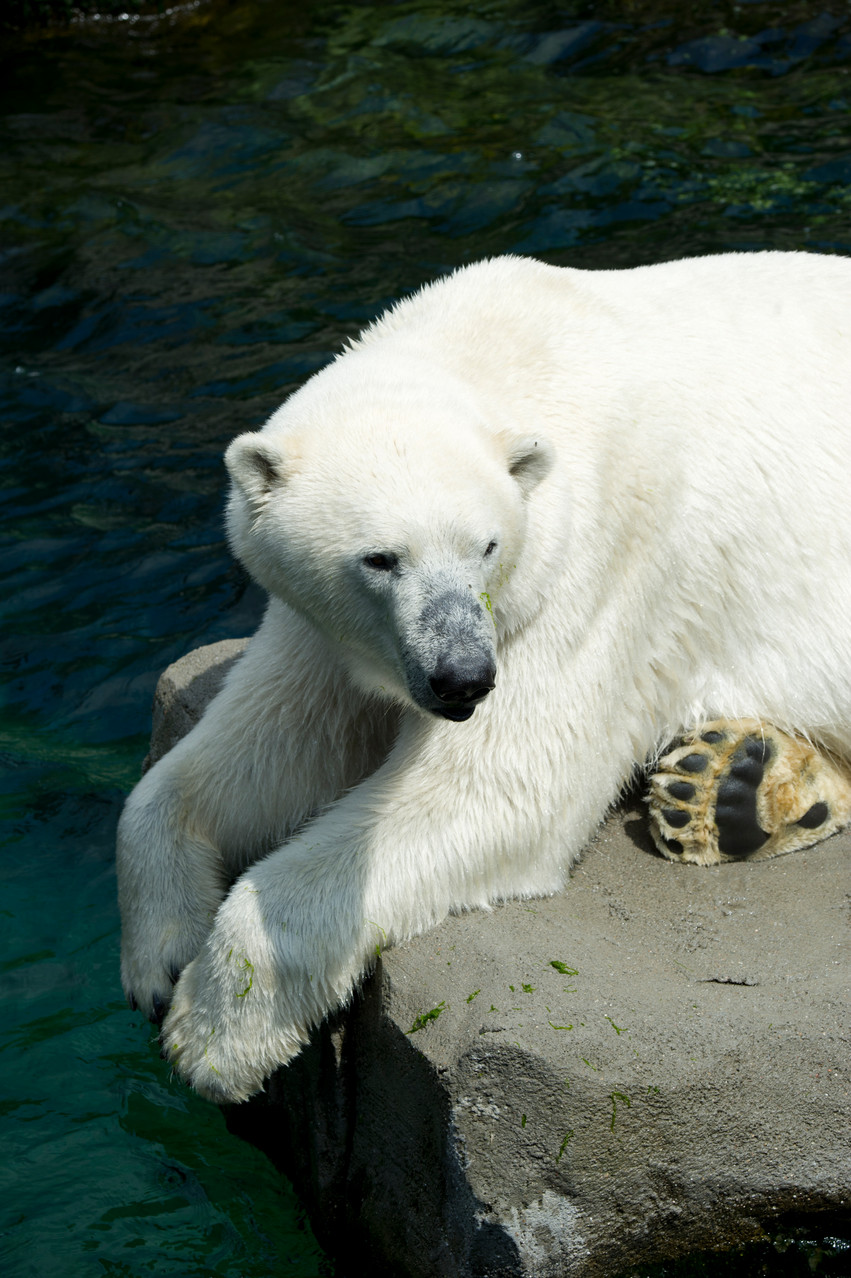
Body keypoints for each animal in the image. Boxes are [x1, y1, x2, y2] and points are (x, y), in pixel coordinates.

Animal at [116, 249, 848, 1099]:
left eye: (485, 546)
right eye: (379, 558)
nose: (462, 678)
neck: (508, 348)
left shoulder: (587, 571)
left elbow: (498, 789)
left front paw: (213, 1035)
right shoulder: (330, 631)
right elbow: (267, 752)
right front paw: (161, 954)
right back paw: (729, 788)